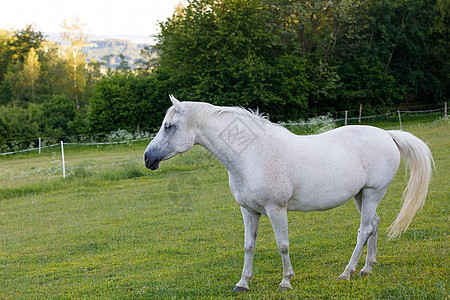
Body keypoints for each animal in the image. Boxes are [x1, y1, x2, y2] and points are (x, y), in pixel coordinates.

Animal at [144, 95, 432, 290]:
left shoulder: (276, 209)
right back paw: (366, 269)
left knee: (364, 230)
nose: (148, 158)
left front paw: (286, 281)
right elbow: (249, 245)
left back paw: (346, 273)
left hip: (372, 193)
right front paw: (243, 283)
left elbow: (282, 244)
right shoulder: (249, 211)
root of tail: (387, 134)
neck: (253, 154)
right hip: (361, 196)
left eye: (168, 126)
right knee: (374, 225)